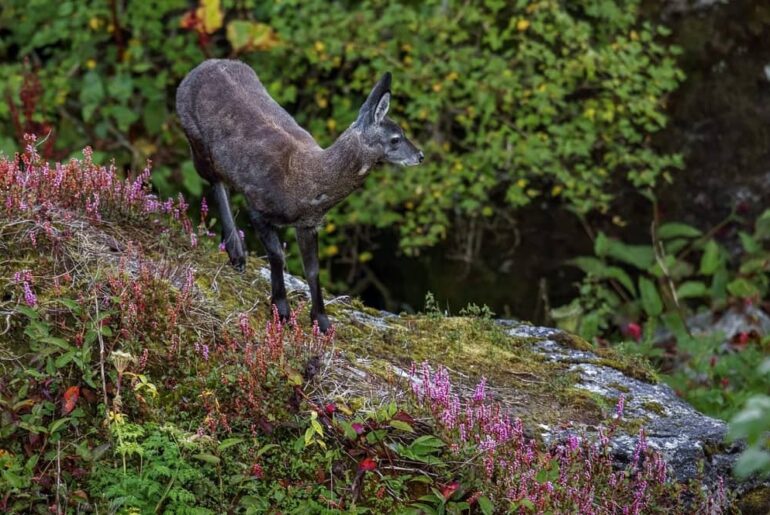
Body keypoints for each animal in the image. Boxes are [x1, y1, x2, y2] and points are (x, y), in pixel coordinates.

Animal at [177, 58, 424, 332]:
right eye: (395, 139)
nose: (420, 155)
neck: (307, 184)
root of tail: (202, 66)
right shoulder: (257, 203)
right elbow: (277, 254)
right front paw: (281, 310)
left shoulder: (309, 223)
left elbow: (313, 269)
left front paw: (322, 322)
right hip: (195, 139)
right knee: (215, 181)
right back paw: (237, 253)